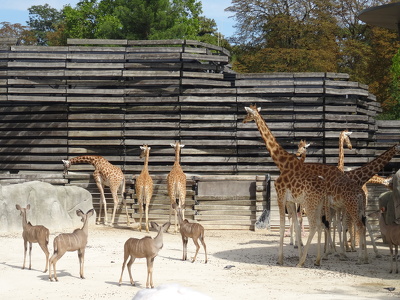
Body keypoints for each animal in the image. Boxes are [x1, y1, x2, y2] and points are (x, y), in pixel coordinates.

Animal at [242, 105, 368, 264]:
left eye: (247, 113)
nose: (243, 120)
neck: (283, 162)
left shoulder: (283, 197)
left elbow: (284, 225)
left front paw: (282, 258)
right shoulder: (292, 200)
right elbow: (296, 224)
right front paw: (299, 251)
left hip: (328, 204)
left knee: (334, 224)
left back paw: (345, 254)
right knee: (336, 224)